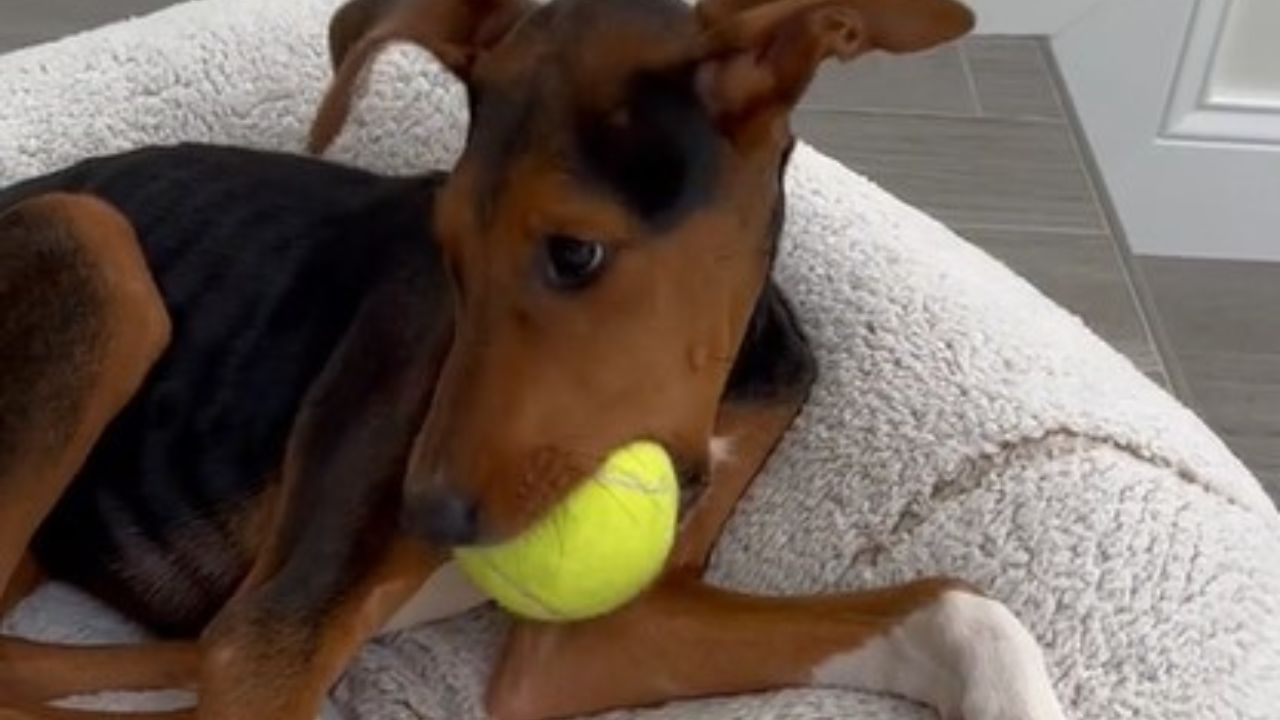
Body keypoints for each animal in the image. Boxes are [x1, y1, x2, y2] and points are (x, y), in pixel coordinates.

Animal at [0, 1, 1059, 717]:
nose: (423, 515)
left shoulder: (607, 633)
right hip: (92, 246)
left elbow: (960, 606)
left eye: (575, 252)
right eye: (447, 251)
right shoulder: (271, 640)